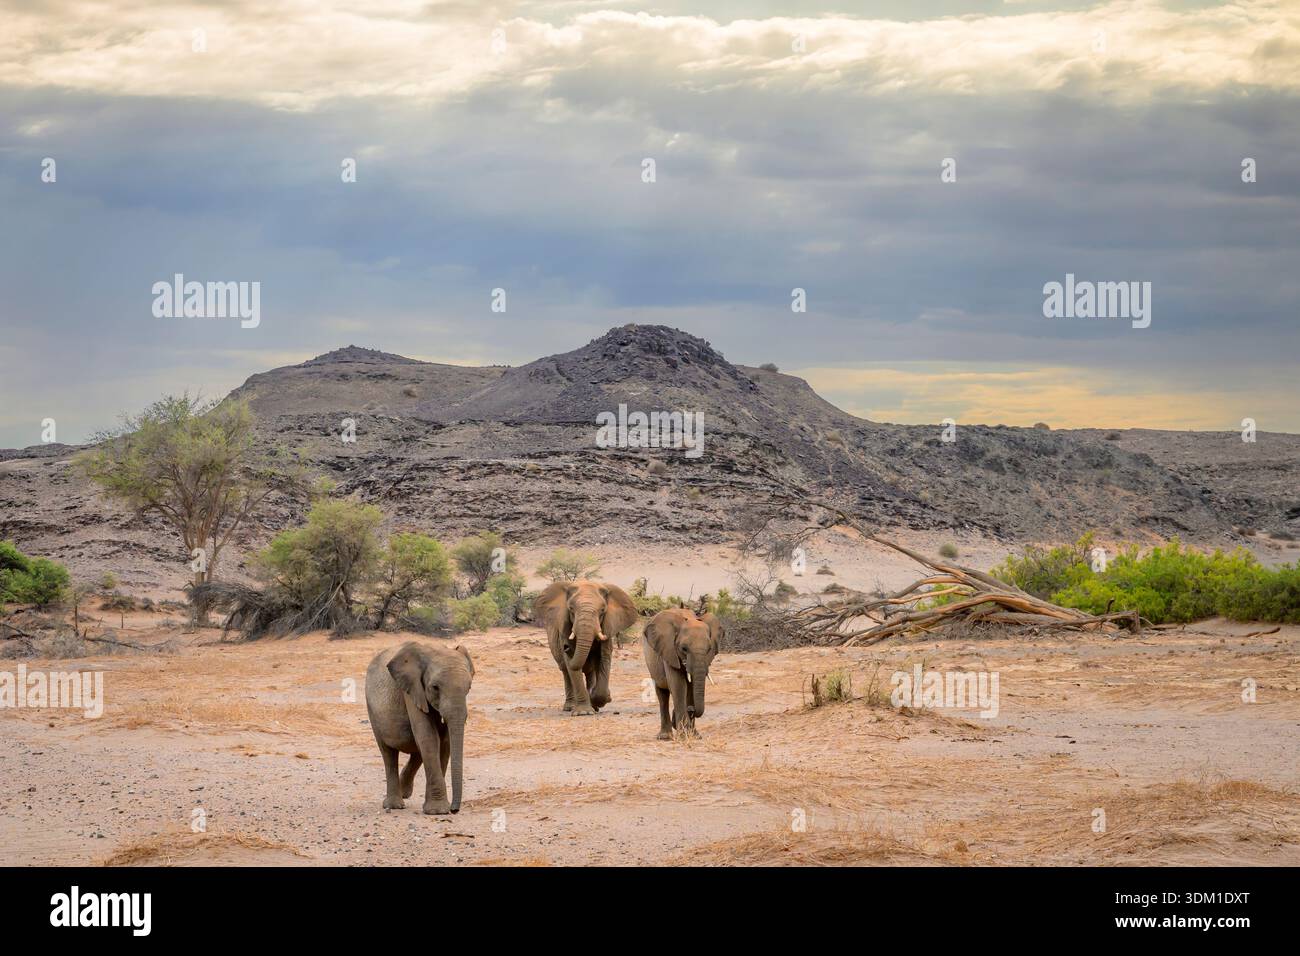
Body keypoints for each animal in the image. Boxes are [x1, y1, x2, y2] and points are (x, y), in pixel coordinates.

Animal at [365, 640, 473, 814]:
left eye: (469, 687)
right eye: (435, 687)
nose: (454, 810)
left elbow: (444, 741)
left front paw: (437, 809)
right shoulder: (412, 689)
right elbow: (428, 735)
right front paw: (438, 811)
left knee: (417, 751)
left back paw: (404, 791)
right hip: (372, 709)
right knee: (388, 753)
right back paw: (394, 805)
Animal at [533, 580, 639, 716]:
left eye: (602, 610)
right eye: (571, 609)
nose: (566, 647)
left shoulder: (608, 626)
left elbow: (604, 657)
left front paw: (601, 699)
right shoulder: (564, 627)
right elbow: (572, 667)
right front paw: (584, 712)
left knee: (590, 671)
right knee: (566, 672)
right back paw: (570, 707)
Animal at [643, 607, 722, 739]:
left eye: (709, 649)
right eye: (684, 648)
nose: (691, 709)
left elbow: (691, 687)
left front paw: (694, 736)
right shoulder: (669, 651)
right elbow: (678, 686)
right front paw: (683, 736)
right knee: (662, 693)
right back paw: (665, 737)